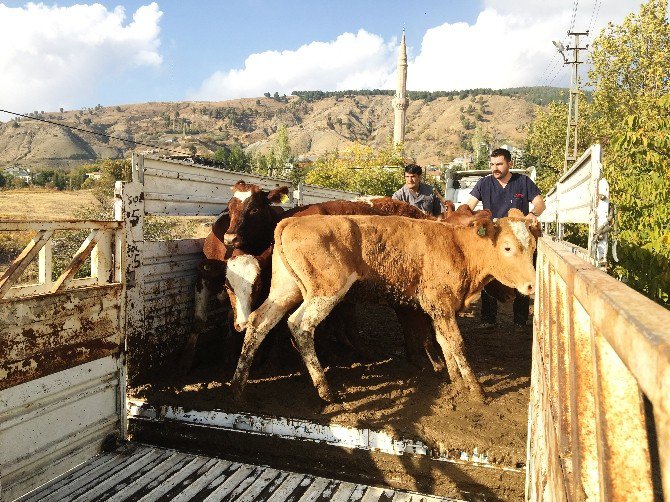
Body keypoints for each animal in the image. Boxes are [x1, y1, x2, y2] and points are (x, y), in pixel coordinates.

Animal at [231, 209, 540, 404]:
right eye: (508, 247)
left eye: (533, 248)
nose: (531, 286)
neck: (459, 248)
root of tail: (291, 223)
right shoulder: (441, 302)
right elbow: (456, 343)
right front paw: (477, 392)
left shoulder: (438, 306)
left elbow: (444, 342)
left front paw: (455, 380)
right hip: (325, 290)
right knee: (300, 325)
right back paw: (326, 391)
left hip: (285, 289)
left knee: (259, 322)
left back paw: (238, 386)